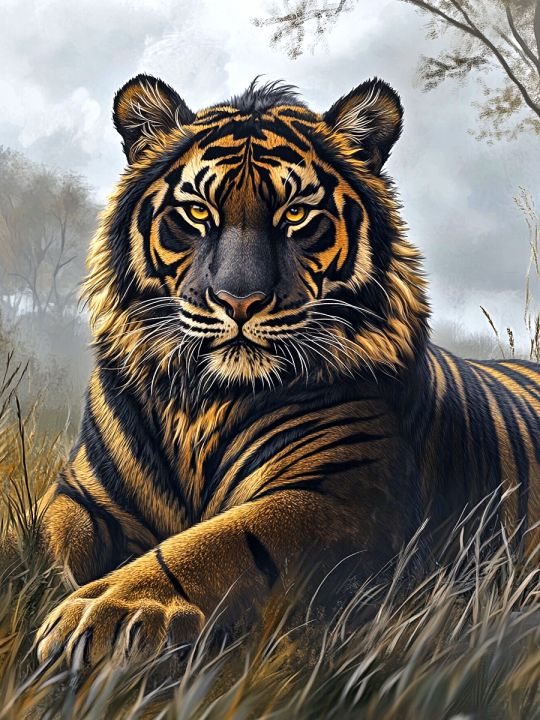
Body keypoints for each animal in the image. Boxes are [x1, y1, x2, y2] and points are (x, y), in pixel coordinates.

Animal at [36, 74, 540, 666]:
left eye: (295, 214)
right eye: (199, 213)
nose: (239, 300)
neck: (201, 405)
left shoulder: (336, 496)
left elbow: (220, 543)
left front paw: (104, 610)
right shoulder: (79, 493)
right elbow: (56, 540)